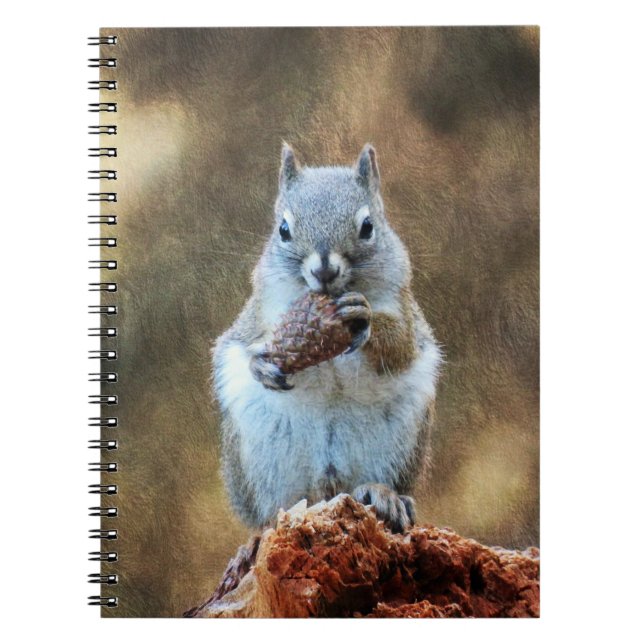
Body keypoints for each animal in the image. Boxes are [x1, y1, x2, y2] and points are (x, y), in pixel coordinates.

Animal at [212, 143, 441, 532]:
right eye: (283, 229)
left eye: (368, 227)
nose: (324, 269)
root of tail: (328, 488)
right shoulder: (258, 314)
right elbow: (243, 341)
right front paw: (262, 365)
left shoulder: (404, 309)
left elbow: (400, 347)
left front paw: (364, 317)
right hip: (258, 455)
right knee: (276, 508)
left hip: (401, 440)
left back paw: (385, 495)